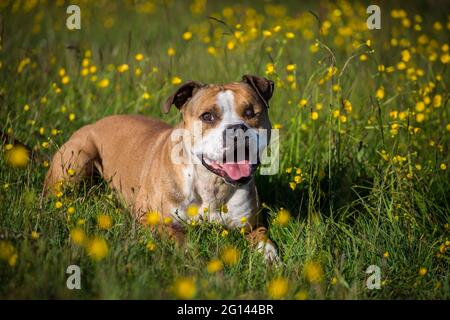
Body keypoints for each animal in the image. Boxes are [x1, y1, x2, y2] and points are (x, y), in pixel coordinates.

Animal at [44, 75, 278, 262]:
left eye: (250, 112)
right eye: (208, 116)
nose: (237, 129)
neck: (210, 185)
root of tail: (94, 123)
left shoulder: (252, 225)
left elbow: (264, 240)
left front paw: (270, 259)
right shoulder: (149, 219)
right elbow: (179, 238)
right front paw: (193, 257)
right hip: (77, 160)